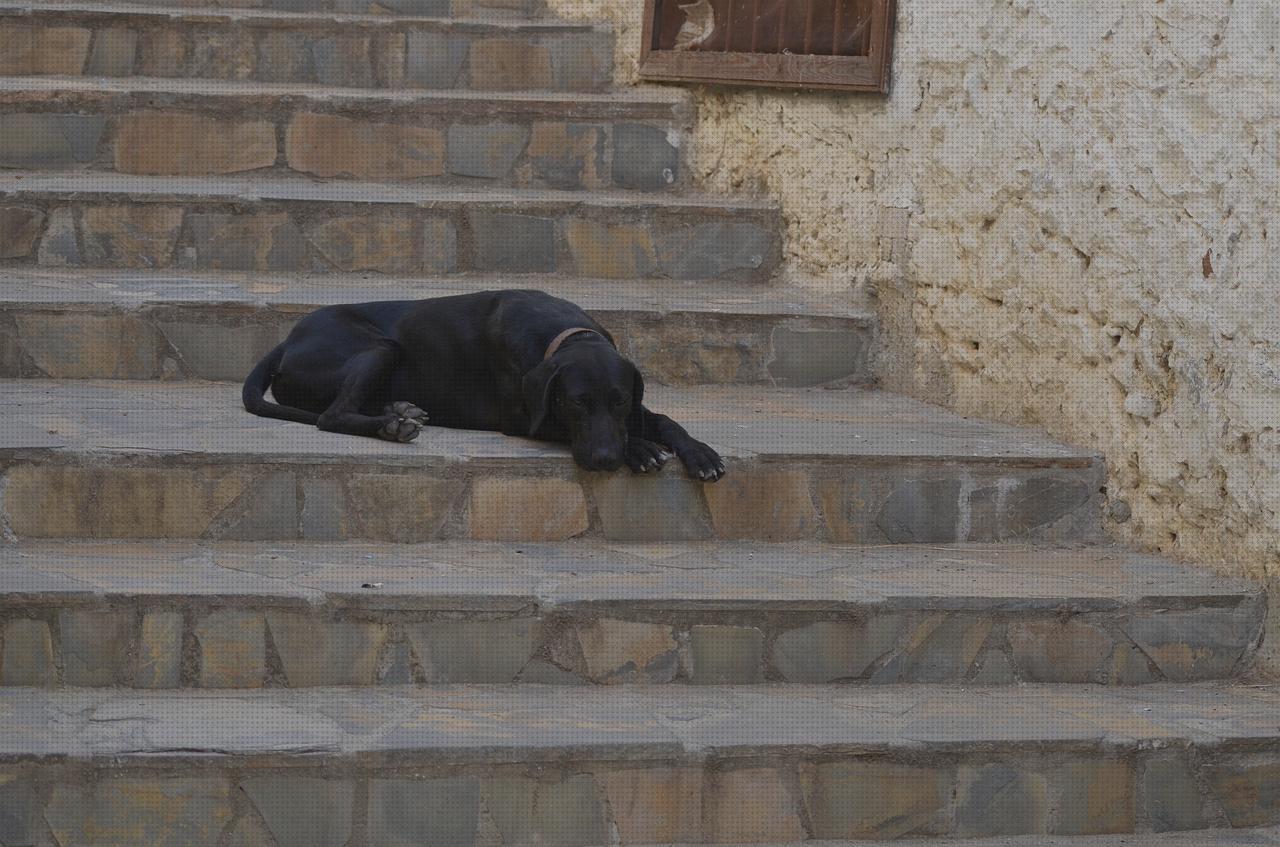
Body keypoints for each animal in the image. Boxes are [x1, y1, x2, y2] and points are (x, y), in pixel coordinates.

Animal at [238, 290, 721, 481]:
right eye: (574, 404)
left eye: (619, 403)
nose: (605, 460)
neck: (563, 333)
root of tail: (286, 340)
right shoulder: (523, 419)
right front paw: (640, 449)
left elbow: (664, 418)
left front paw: (700, 453)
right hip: (381, 348)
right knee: (330, 416)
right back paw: (392, 426)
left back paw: (399, 411)